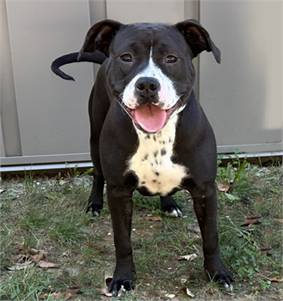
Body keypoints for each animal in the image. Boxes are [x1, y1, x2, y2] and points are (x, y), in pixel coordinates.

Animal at [52, 19, 234, 296]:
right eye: (127, 57)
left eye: (171, 58)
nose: (147, 84)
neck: (155, 137)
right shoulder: (118, 192)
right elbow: (122, 241)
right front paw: (122, 278)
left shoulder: (206, 190)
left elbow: (211, 237)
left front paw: (217, 273)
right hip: (94, 138)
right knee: (97, 173)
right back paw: (94, 204)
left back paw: (169, 204)